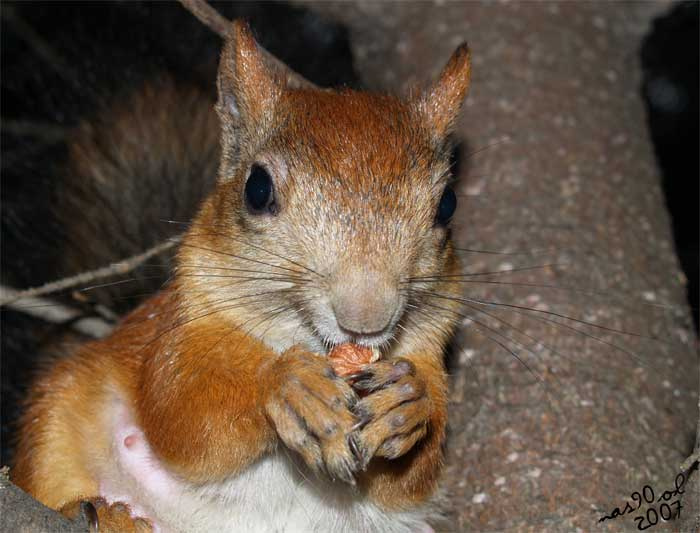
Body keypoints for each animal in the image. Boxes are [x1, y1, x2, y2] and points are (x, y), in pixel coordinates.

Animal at [11, 20, 471, 533]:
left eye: (447, 203)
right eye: (257, 188)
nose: (367, 317)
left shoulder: (428, 349)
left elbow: (412, 478)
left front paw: (409, 404)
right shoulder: (174, 331)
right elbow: (181, 413)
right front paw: (285, 385)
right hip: (54, 424)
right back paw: (105, 515)